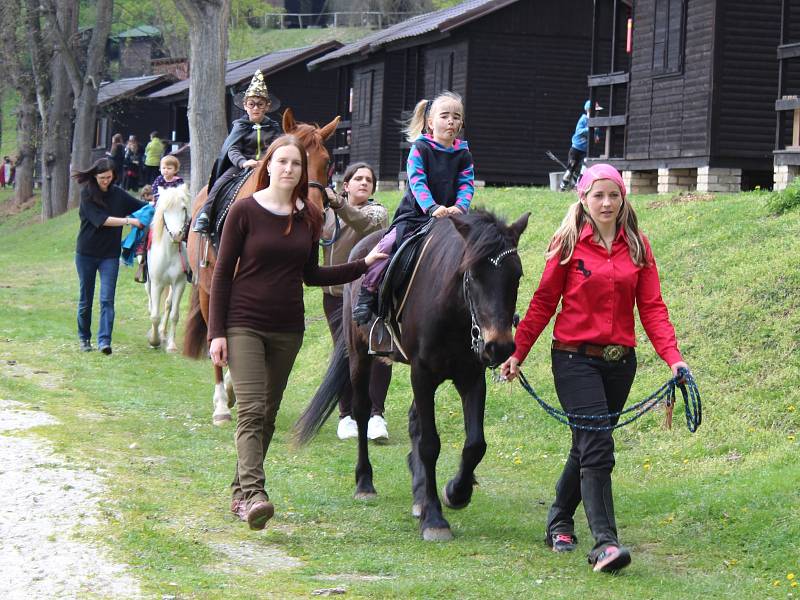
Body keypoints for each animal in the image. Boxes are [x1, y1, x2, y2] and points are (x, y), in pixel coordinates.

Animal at [147, 186, 191, 352]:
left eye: (183, 208)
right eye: (165, 210)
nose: (177, 235)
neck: (169, 253)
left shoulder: (179, 283)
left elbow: (174, 314)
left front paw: (171, 345)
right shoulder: (157, 283)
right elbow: (154, 315)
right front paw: (154, 341)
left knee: (167, 304)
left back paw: (163, 332)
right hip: (149, 282)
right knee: (151, 302)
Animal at [183, 109, 340, 426]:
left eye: (326, 160)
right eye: (293, 158)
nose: (315, 211)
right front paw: (228, 394)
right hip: (207, 289)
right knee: (214, 335)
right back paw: (221, 402)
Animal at [292, 210, 524, 540]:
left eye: (516, 276)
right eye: (474, 275)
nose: (499, 346)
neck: (453, 311)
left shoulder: (471, 376)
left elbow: (475, 444)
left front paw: (456, 492)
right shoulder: (422, 373)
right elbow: (429, 444)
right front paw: (435, 519)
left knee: (415, 421)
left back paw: (419, 496)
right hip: (359, 355)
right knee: (362, 411)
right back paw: (365, 483)